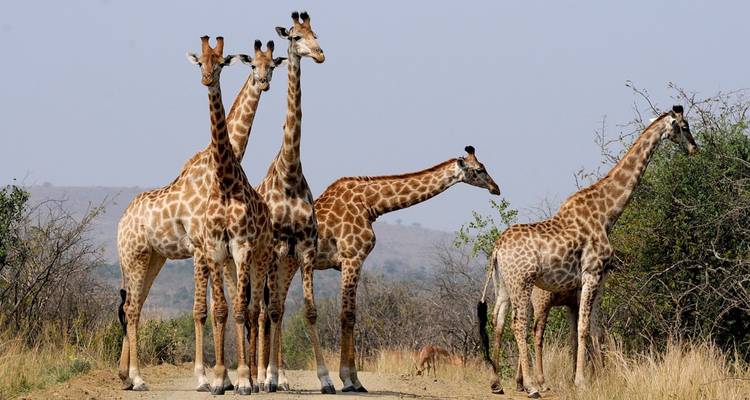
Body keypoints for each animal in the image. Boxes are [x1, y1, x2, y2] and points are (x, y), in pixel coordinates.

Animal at [115, 37, 282, 393]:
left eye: (272, 64)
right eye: (253, 65)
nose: (263, 82)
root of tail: (121, 221)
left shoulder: (215, 250)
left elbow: (220, 308)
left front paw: (226, 379)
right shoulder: (200, 248)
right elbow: (201, 310)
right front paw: (207, 378)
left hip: (153, 257)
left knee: (134, 304)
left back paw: (126, 375)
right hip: (134, 256)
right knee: (132, 307)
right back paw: (138, 377)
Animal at [313, 146, 501, 392]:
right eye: (479, 169)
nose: (496, 188)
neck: (370, 204)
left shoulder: (351, 262)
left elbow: (350, 316)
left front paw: (352, 380)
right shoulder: (352, 258)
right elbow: (348, 316)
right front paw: (350, 381)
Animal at [479, 105, 697, 397]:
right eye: (684, 127)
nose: (694, 148)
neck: (607, 214)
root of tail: (497, 248)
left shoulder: (592, 280)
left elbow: (592, 329)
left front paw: (593, 377)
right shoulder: (592, 273)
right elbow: (583, 328)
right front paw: (581, 381)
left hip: (503, 283)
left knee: (498, 320)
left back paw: (497, 383)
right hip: (522, 282)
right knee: (520, 324)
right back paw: (532, 386)